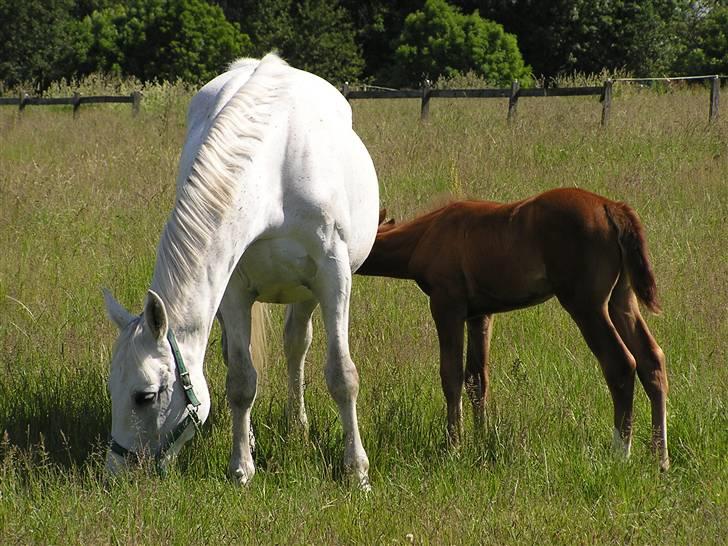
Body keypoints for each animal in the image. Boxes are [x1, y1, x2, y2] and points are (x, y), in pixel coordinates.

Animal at [103, 53, 382, 486]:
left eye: (144, 396)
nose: (117, 474)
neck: (275, 172)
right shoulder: (232, 290)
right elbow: (240, 381)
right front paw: (241, 468)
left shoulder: (332, 277)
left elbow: (342, 375)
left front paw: (356, 471)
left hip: (306, 292)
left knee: (296, 346)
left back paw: (297, 425)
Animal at [356, 187, 668, 468]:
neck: (427, 234)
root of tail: (611, 208)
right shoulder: (480, 314)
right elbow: (476, 379)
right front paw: (481, 440)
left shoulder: (447, 305)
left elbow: (451, 376)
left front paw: (453, 447)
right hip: (622, 298)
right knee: (651, 359)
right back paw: (659, 458)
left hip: (587, 305)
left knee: (621, 364)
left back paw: (621, 454)